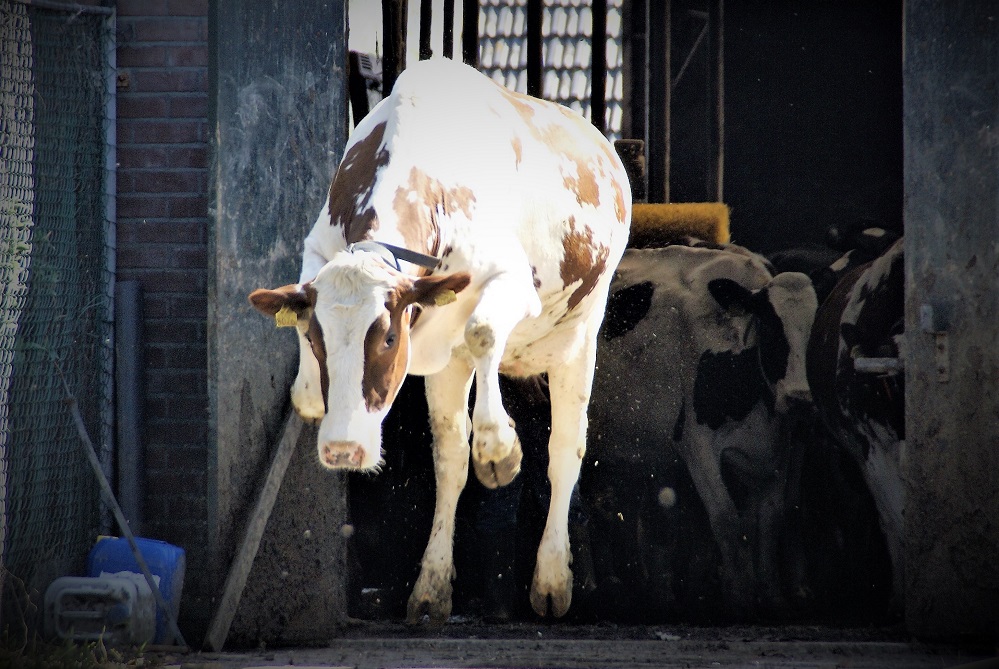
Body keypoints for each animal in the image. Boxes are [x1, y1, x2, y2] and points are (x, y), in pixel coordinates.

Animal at [246, 54, 628, 624]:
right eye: (317, 339)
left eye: (387, 339)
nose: (342, 450)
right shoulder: (317, 251)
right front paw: (311, 391)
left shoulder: (511, 282)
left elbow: (484, 330)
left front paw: (500, 448)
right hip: (450, 367)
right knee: (450, 460)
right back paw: (431, 586)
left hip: (580, 335)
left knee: (564, 449)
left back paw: (552, 577)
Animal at [588, 243, 816, 612]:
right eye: (770, 328)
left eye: (816, 330)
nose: (800, 397)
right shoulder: (697, 447)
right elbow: (727, 521)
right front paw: (739, 595)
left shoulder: (778, 449)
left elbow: (770, 521)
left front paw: (770, 594)